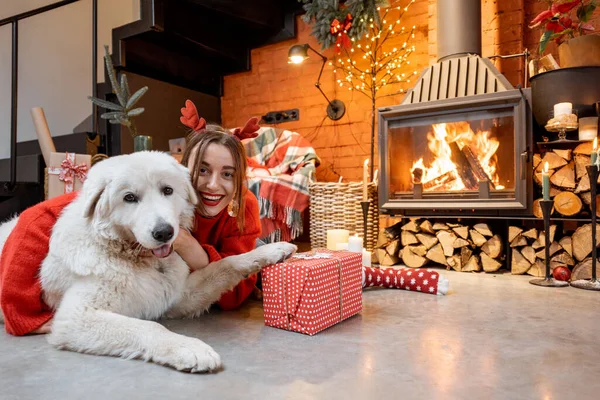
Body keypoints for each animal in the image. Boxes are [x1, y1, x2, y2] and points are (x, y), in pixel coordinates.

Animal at [0, 152, 296, 372]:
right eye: (129, 197)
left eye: (167, 190)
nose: (164, 232)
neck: (133, 255)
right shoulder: (76, 318)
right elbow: (150, 326)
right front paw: (190, 348)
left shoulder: (179, 296)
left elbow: (228, 263)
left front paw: (275, 249)